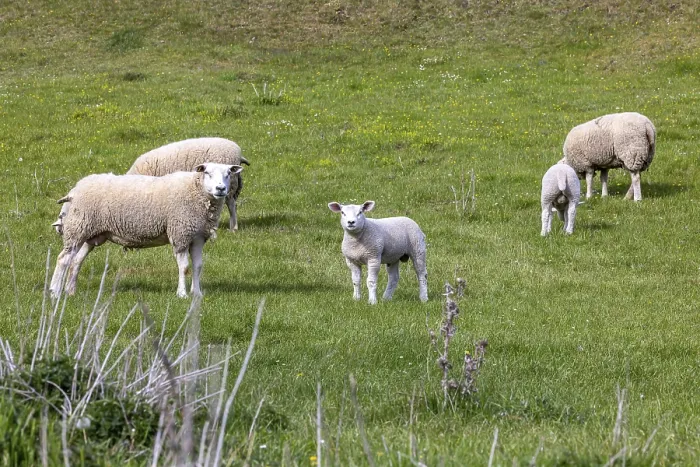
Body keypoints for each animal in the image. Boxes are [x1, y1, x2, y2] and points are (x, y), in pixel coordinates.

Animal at [49, 163, 243, 299]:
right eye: (207, 173)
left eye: (228, 174)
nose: (221, 189)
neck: (196, 192)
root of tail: (75, 189)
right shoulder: (180, 233)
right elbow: (184, 267)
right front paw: (182, 294)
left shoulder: (198, 236)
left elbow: (197, 266)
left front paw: (197, 294)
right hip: (78, 228)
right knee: (63, 259)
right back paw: (54, 292)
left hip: (90, 234)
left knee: (76, 261)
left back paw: (70, 291)